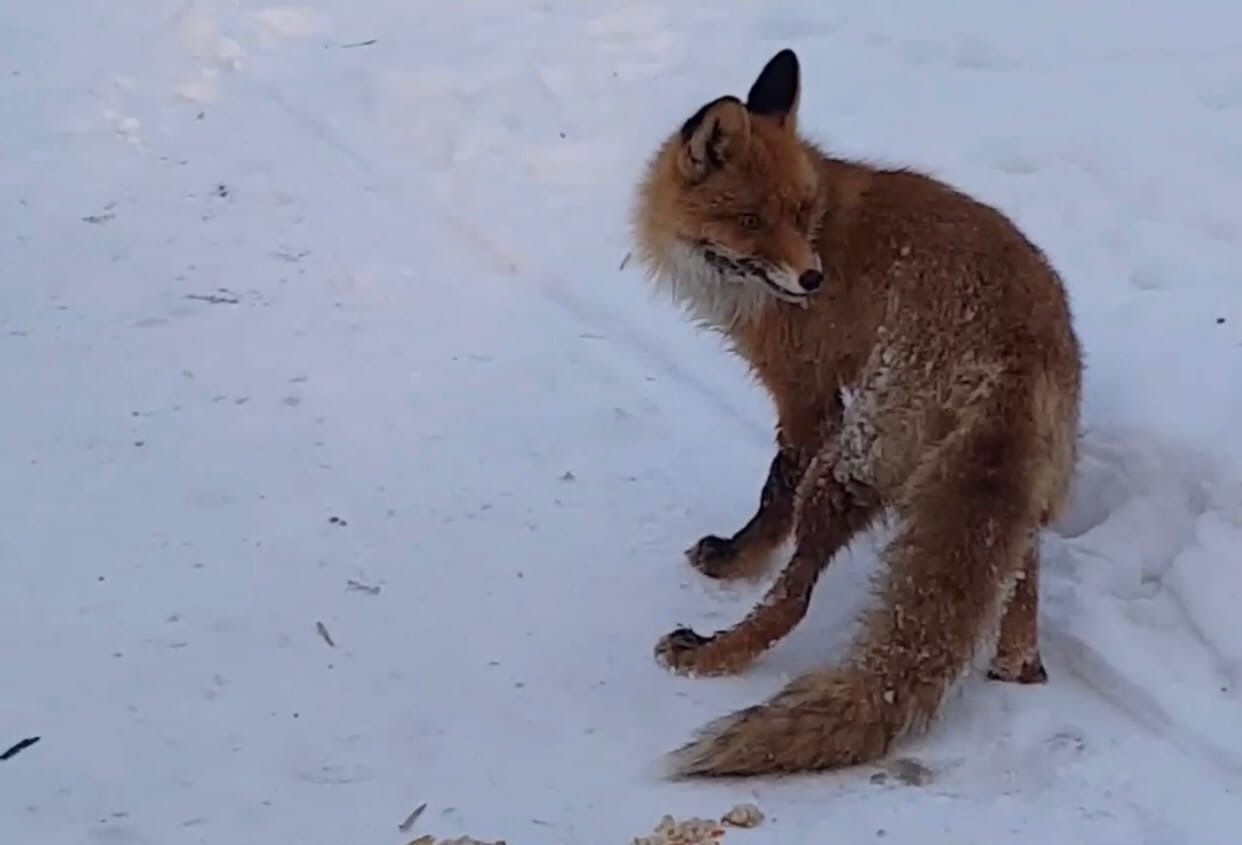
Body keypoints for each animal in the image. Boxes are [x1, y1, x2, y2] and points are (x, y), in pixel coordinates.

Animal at [625, 47, 1083, 780]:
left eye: (799, 211)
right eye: (753, 221)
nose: (812, 279)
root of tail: (1017, 354)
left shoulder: (807, 397)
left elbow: (773, 494)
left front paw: (734, 558)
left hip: (849, 464)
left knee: (793, 598)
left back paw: (712, 653)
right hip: (1025, 486)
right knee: (1018, 580)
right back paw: (1018, 662)